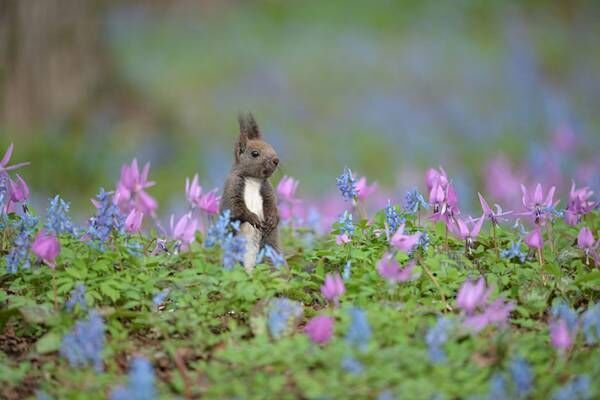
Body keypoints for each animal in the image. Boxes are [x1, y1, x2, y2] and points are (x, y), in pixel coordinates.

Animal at [220, 114, 282, 274]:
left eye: (272, 147)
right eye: (255, 153)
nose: (276, 160)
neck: (253, 180)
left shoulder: (267, 191)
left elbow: (272, 205)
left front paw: (273, 219)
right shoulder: (232, 188)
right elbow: (236, 209)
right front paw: (252, 217)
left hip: (268, 254)